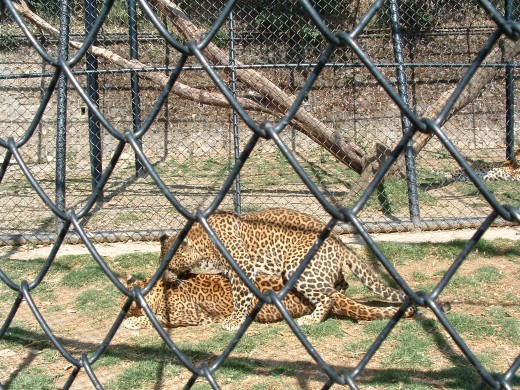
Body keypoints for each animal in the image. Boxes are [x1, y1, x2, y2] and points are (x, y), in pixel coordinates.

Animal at [162, 209, 410, 330]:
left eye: (169, 264)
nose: (163, 279)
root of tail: (340, 242)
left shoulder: (242, 268)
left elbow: (241, 297)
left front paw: (234, 322)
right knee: (341, 284)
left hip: (298, 268)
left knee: (329, 296)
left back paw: (312, 319)